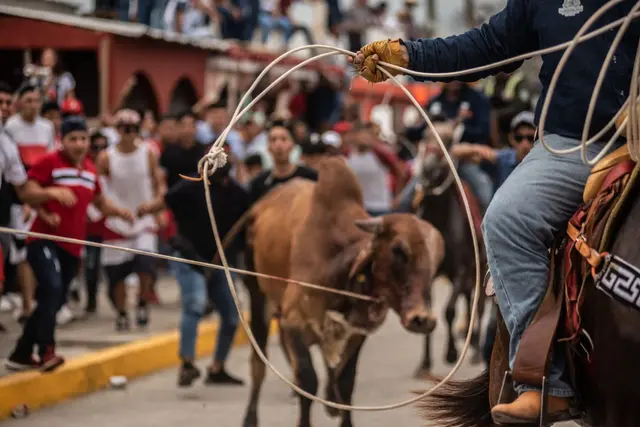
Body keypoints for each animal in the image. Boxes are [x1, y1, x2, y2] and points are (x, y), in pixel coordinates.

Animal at [241, 157, 444, 427]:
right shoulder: (294, 321)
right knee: (258, 363)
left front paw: (338, 407)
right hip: (258, 297)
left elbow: (346, 381)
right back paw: (250, 417)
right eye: (398, 250)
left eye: (437, 260)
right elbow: (307, 379)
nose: (423, 319)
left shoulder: (357, 332)